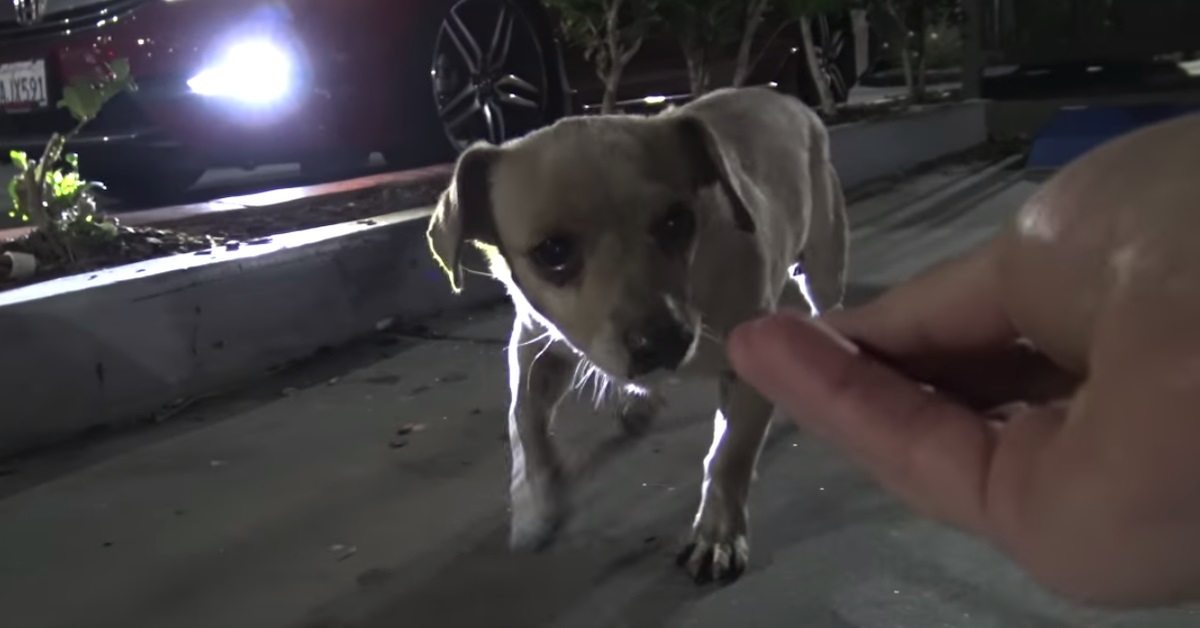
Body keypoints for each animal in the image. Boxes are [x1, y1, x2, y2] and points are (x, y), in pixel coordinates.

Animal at [427, 85, 849, 583]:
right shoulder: (535, 345)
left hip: (822, 265)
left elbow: (729, 455)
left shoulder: (747, 364)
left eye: (677, 221)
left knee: (828, 307)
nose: (665, 342)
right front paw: (536, 506)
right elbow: (525, 426)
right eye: (552, 251)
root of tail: (786, 98)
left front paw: (718, 533)